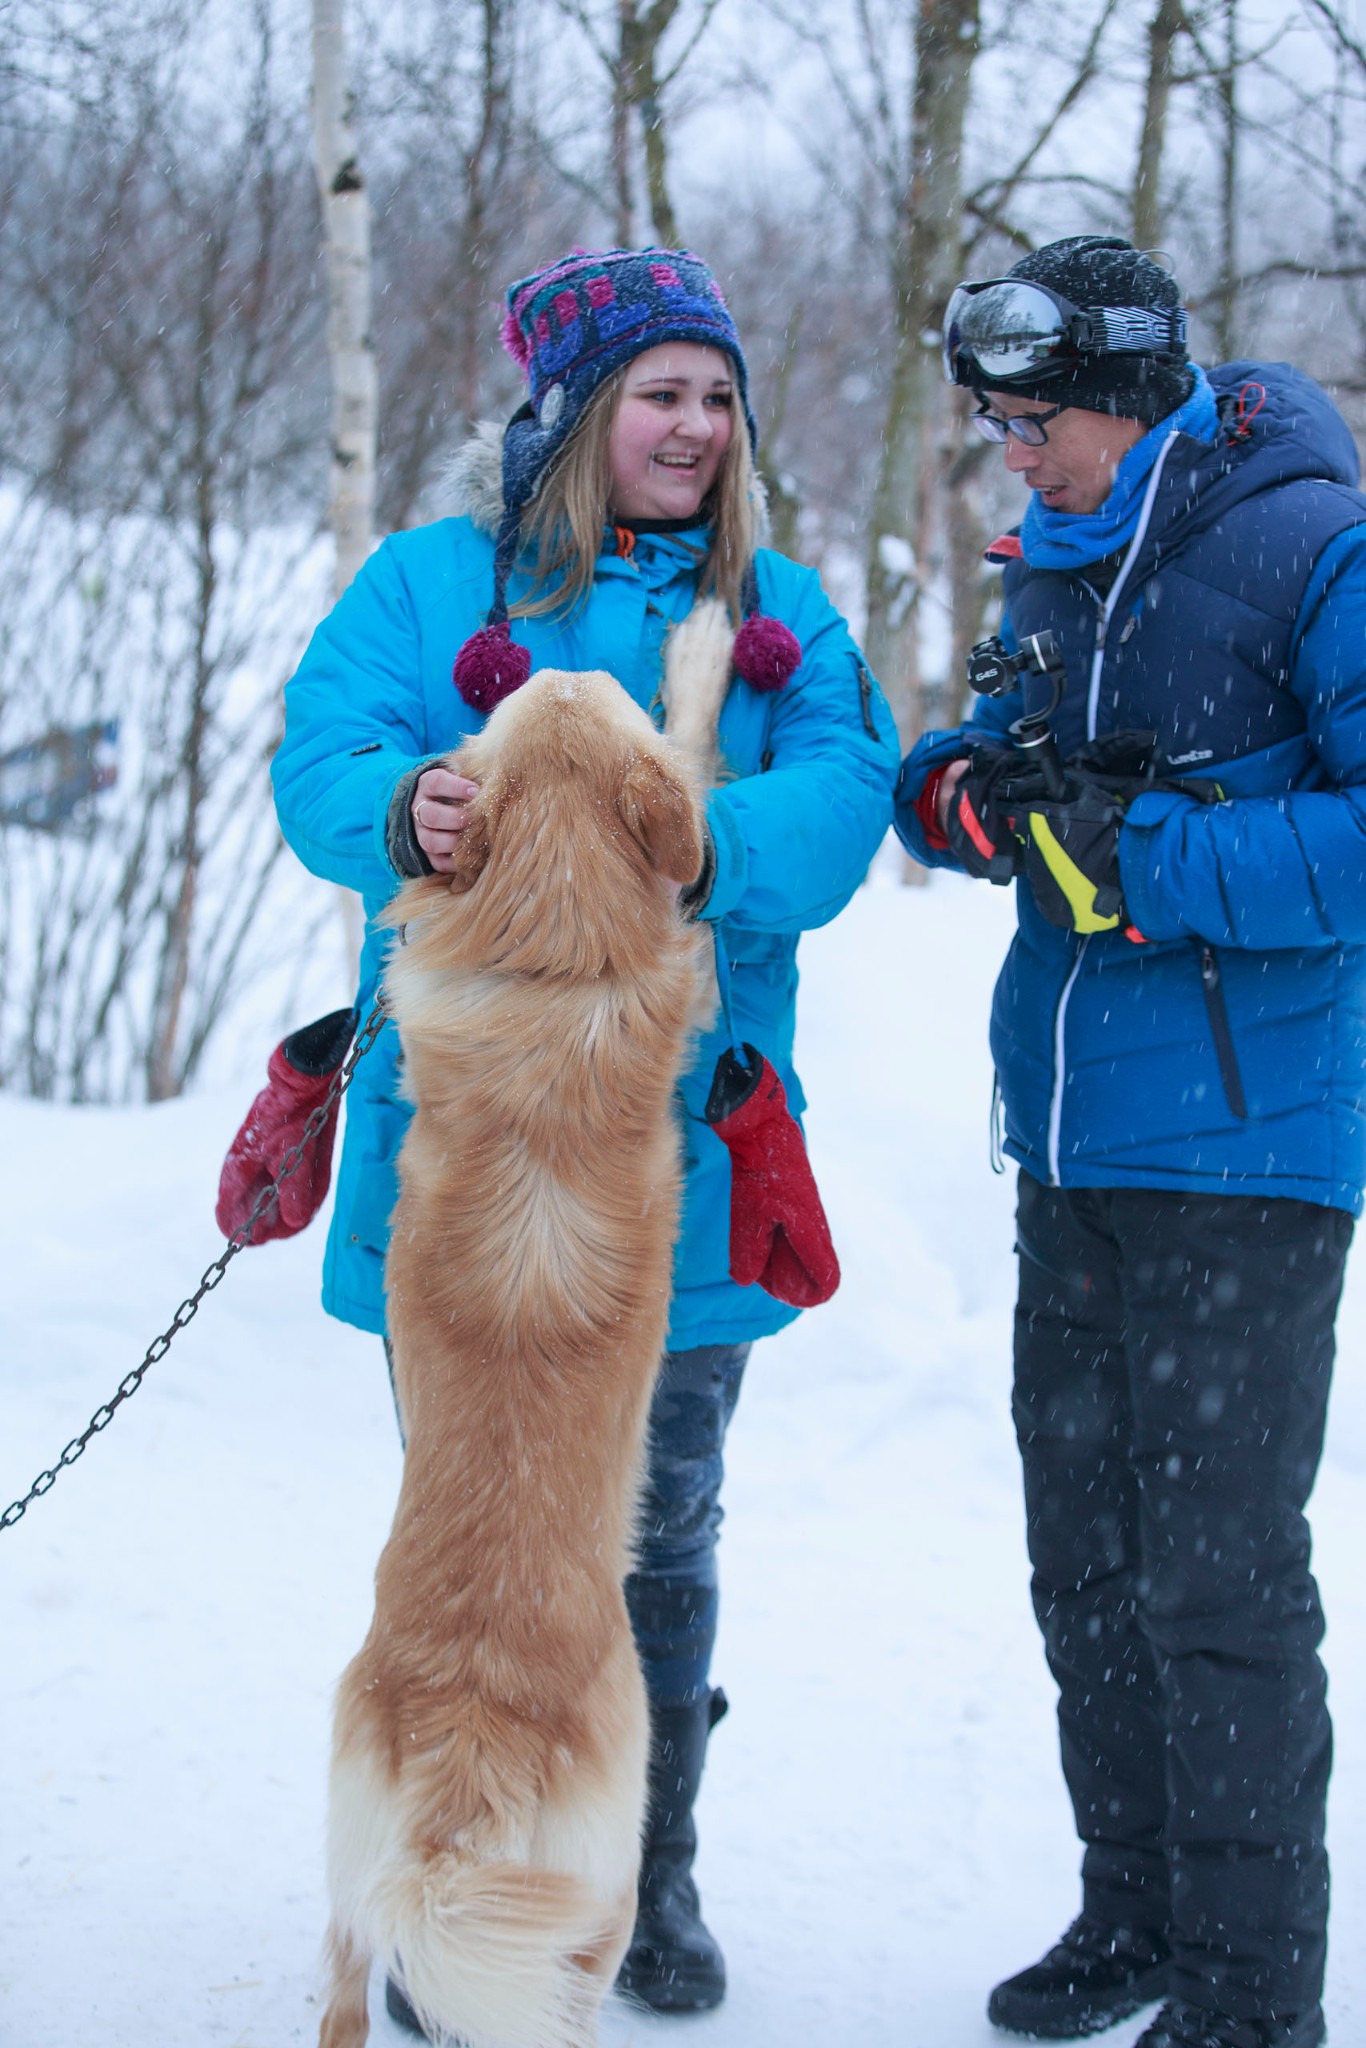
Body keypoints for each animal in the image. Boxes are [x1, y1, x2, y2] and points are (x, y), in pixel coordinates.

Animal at [319, 671, 704, 2048]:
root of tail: (468, 1747)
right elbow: (702, 730)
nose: (549, 663)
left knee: (345, 1993)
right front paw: (706, 651)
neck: (554, 958)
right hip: (598, 1898)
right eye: (585, 694)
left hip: (352, 1876)